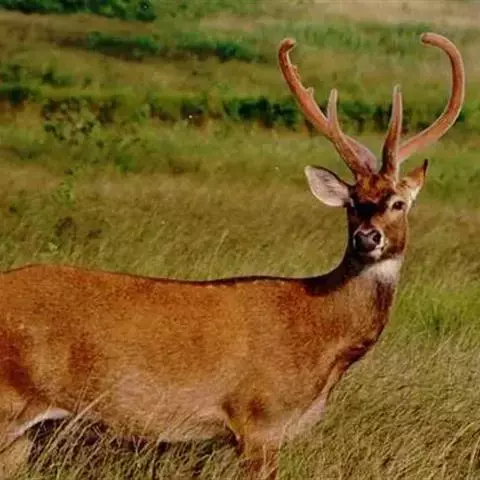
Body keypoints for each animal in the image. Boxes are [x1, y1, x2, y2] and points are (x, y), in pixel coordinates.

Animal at [0, 32, 464, 479]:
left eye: (398, 204)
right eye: (352, 203)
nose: (367, 238)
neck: (320, 336)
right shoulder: (260, 419)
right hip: (9, 402)